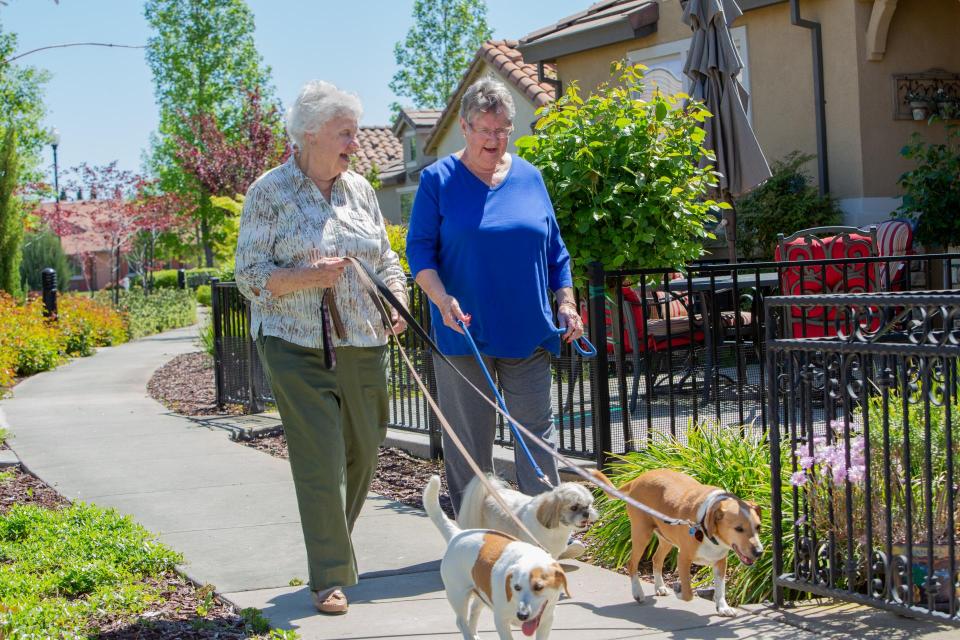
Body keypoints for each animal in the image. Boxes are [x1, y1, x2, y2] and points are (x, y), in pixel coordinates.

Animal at [422, 476, 568, 640]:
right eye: (516, 587)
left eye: (539, 587)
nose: (522, 615)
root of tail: (457, 534)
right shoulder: (500, 620)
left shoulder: (547, 620)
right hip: (458, 595)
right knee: (461, 621)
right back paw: (468, 634)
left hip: (481, 591)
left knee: (474, 610)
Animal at [592, 468, 764, 616]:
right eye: (738, 529)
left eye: (758, 527)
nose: (759, 552)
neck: (705, 527)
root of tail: (637, 479)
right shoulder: (683, 558)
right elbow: (688, 594)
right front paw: (679, 592)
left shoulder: (721, 561)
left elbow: (720, 588)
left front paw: (723, 607)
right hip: (642, 534)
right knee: (632, 563)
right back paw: (638, 593)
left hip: (666, 539)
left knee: (656, 559)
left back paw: (660, 586)